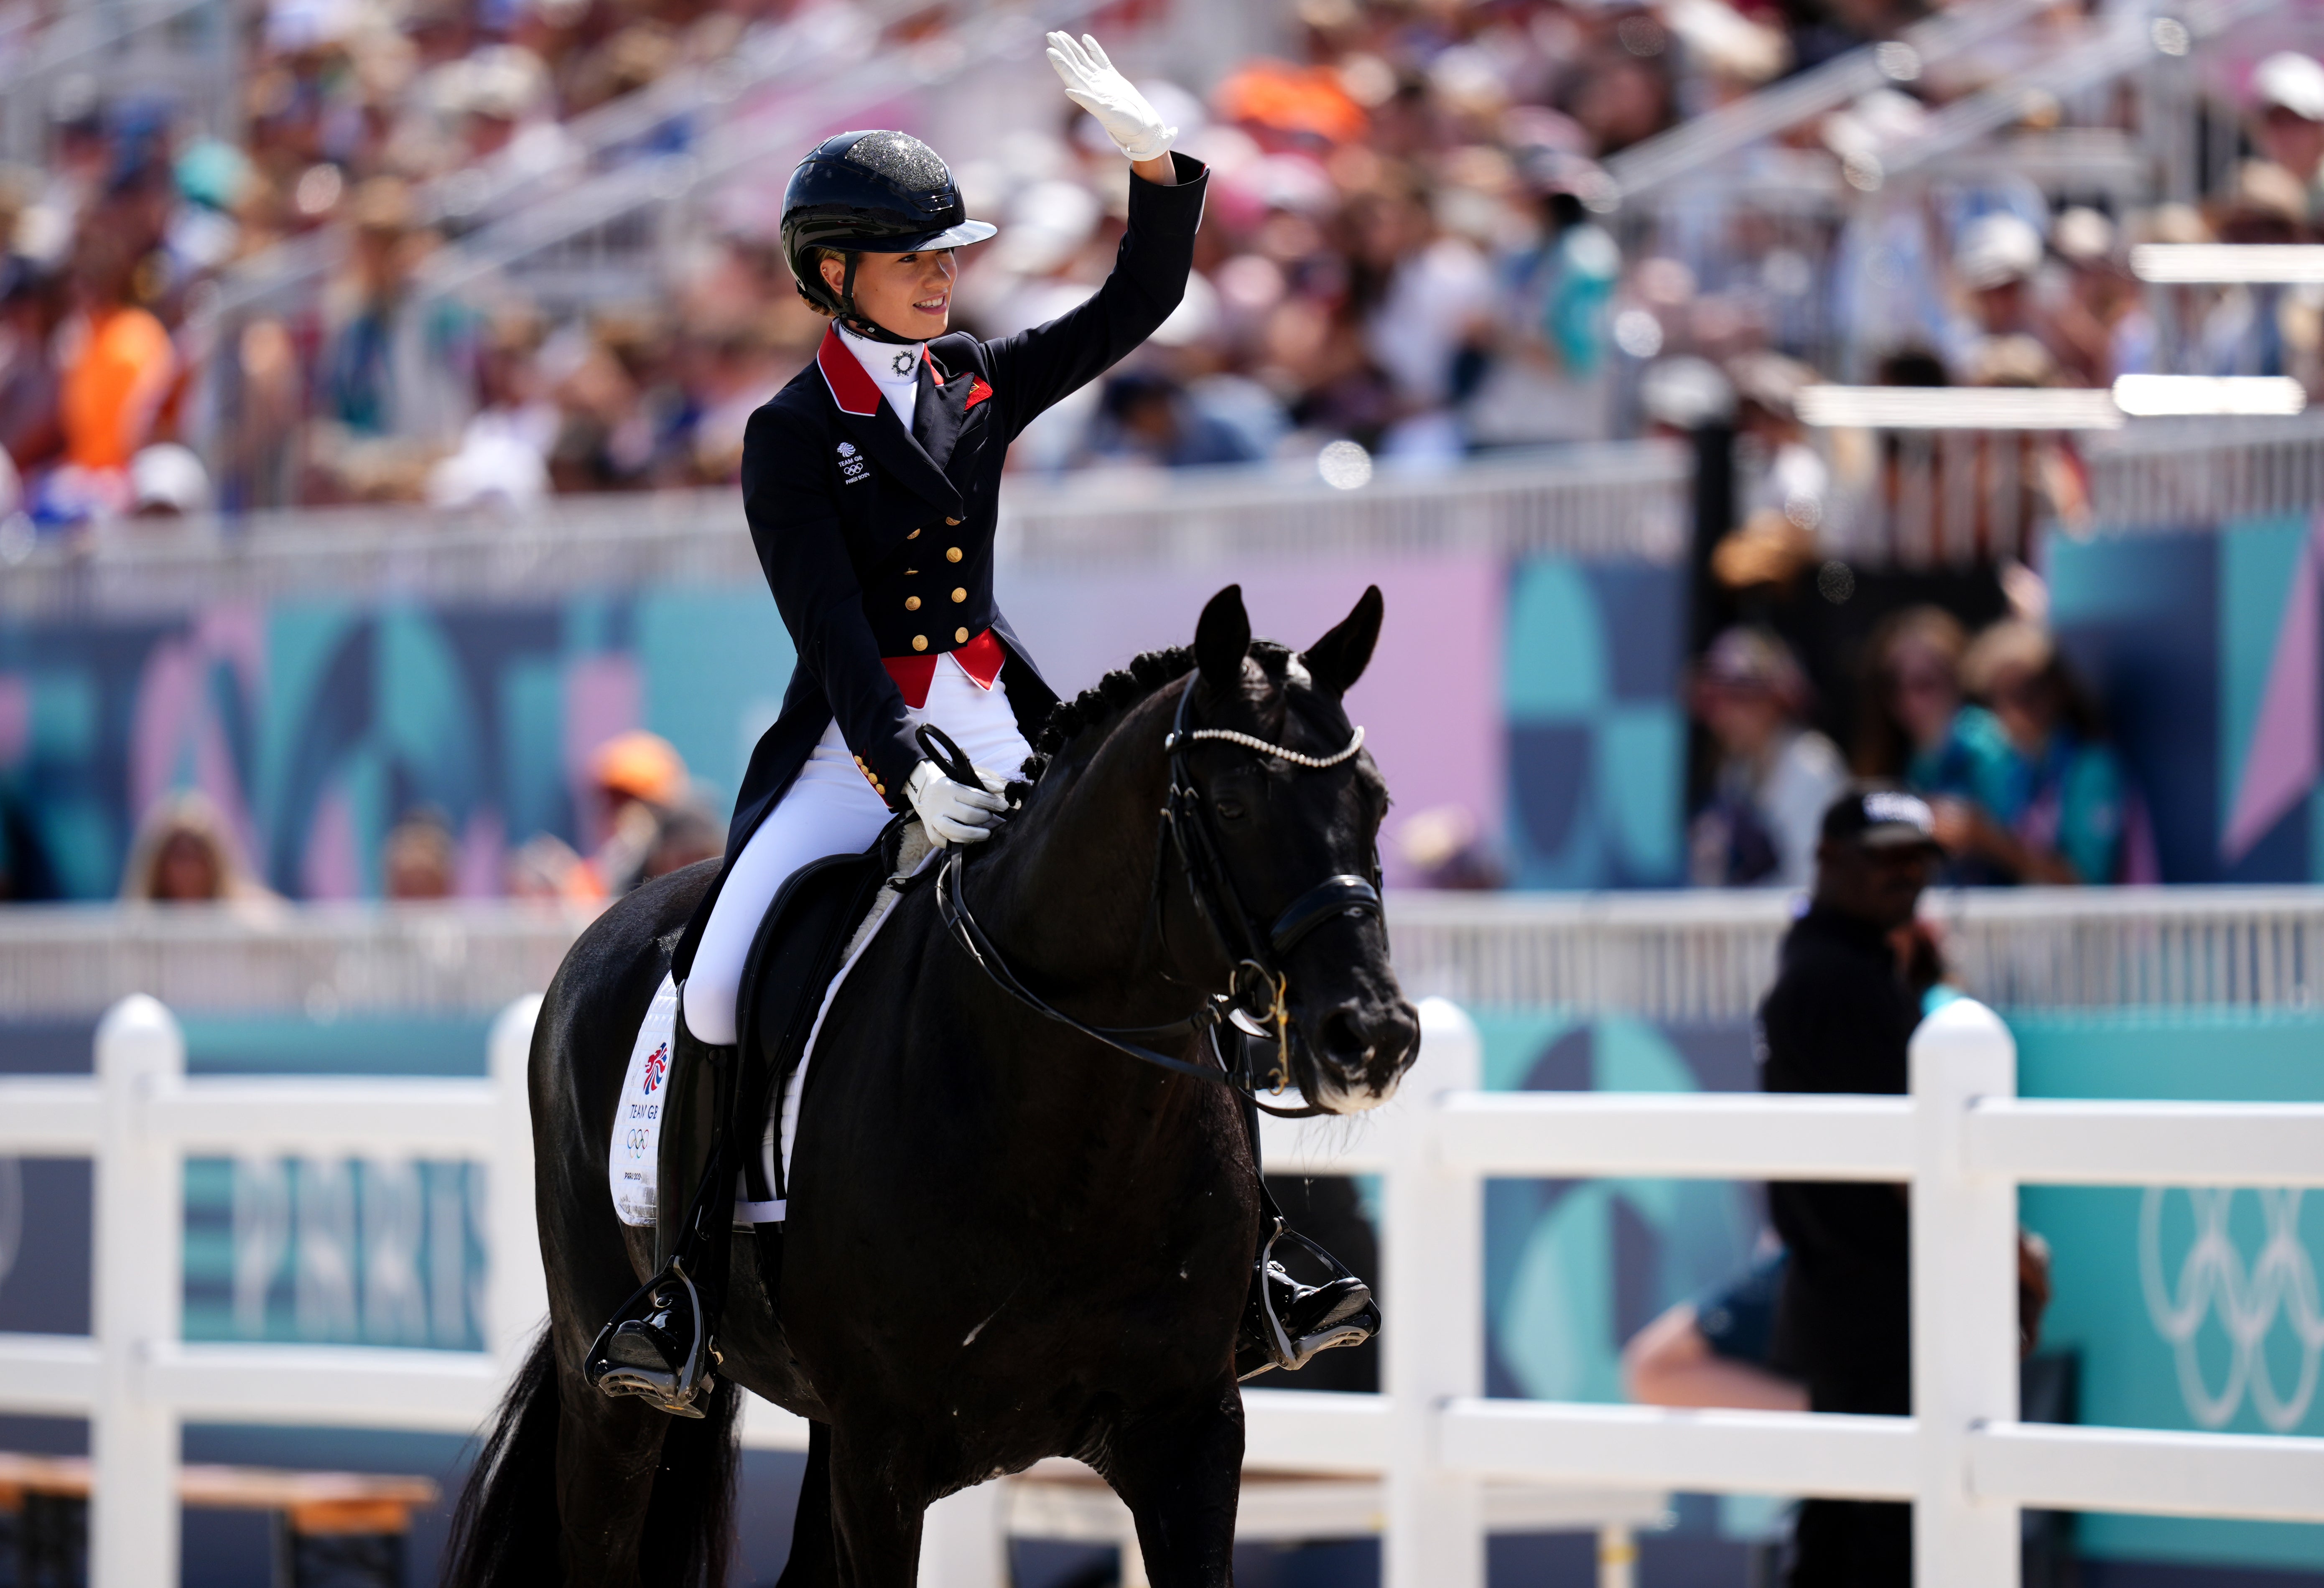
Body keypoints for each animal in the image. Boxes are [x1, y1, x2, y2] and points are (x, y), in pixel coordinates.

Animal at [437, 586, 1413, 1588]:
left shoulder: (1190, 1436)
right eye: (1230, 804)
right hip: (615, 1399)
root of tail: (605, 931)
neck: (1075, 1133)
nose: (1371, 1036)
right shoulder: (884, 1456)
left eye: (1374, 800)